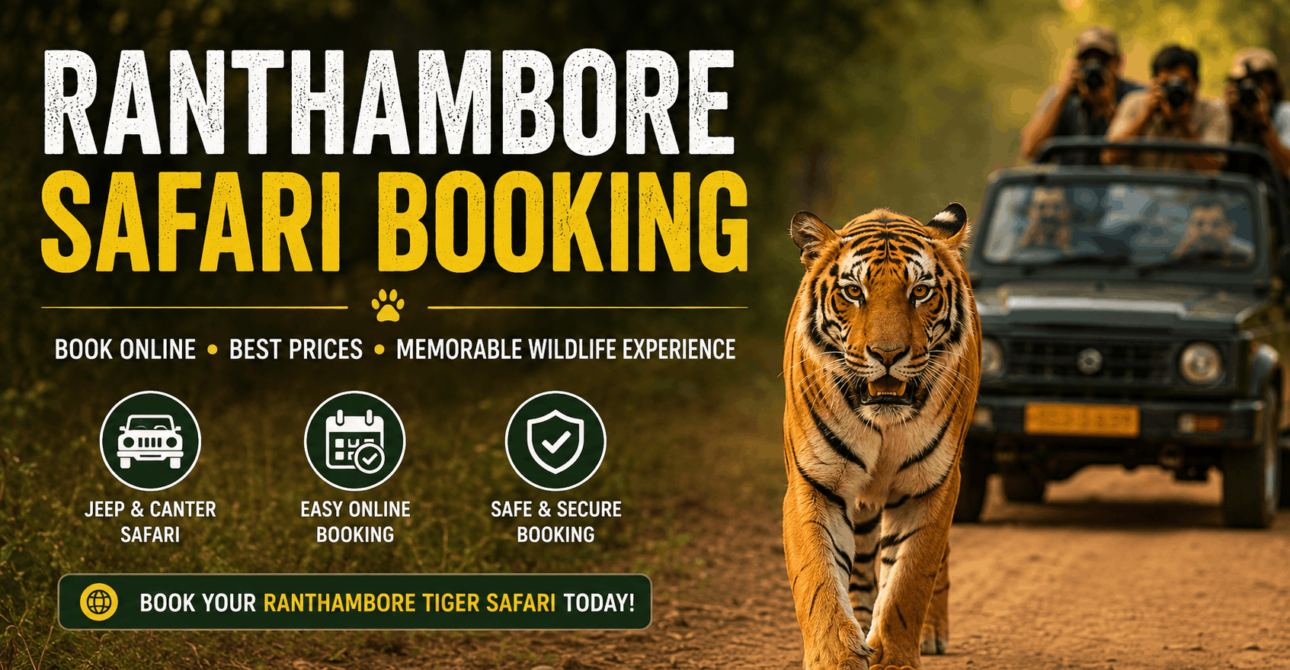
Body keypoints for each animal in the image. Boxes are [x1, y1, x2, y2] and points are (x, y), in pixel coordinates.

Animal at [781, 204, 981, 670]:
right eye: (854, 292)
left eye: (920, 292)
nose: (888, 355)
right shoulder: (813, 483)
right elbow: (818, 580)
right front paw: (836, 657)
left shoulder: (931, 488)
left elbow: (908, 582)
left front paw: (894, 658)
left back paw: (930, 633)